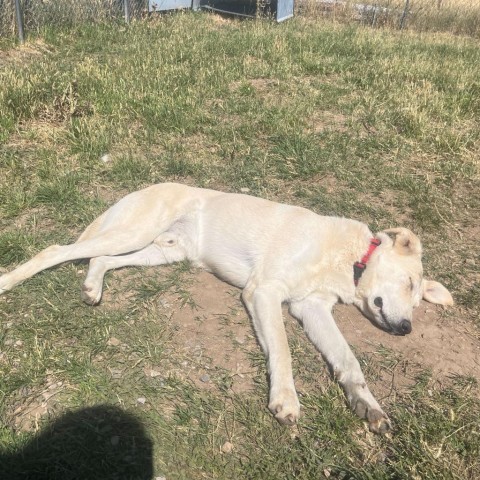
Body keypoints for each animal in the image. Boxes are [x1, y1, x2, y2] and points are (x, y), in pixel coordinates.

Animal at [0, 182, 454, 434]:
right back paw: (9, 280)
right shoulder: (263, 292)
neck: (349, 260)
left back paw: (93, 286)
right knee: (57, 250)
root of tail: (150, 186)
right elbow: (283, 352)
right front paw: (285, 400)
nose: (406, 329)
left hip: (162, 252)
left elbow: (348, 361)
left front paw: (368, 405)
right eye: (409, 284)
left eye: (418, 300)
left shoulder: (311, 309)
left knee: (101, 259)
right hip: (136, 232)